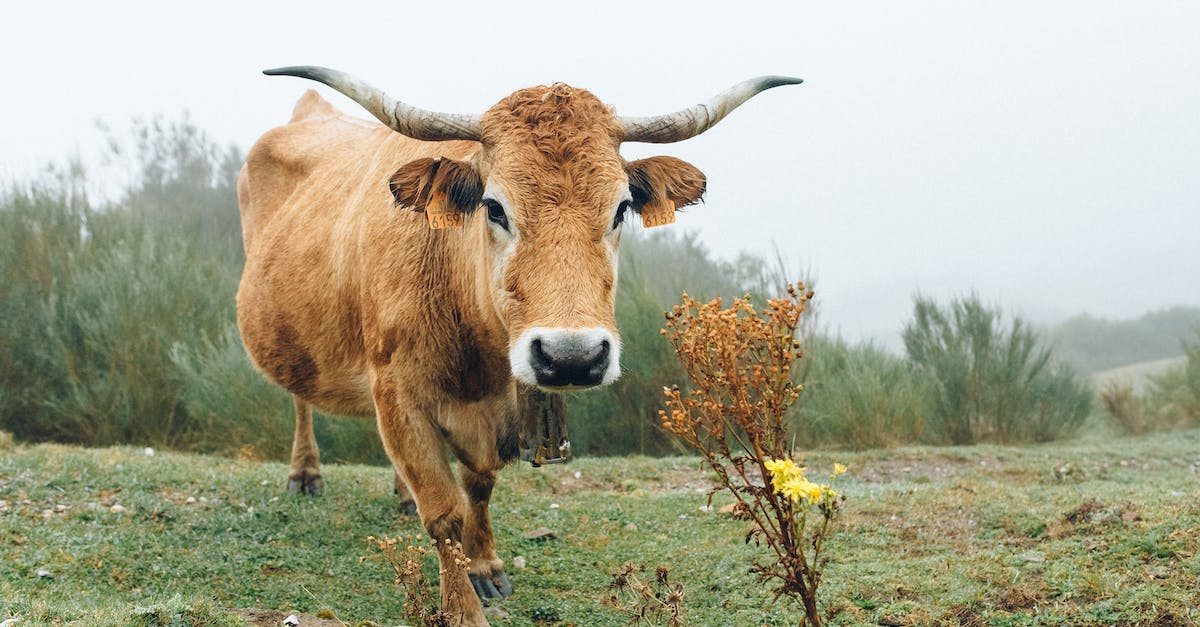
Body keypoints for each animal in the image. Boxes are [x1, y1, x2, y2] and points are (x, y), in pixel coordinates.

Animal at [236, 66, 801, 625]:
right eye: (494, 207)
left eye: (621, 208)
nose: (571, 356)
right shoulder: (396, 395)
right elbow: (443, 512)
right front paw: (463, 609)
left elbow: (479, 487)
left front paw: (485, 566)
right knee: (300, 398)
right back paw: (305, 474)